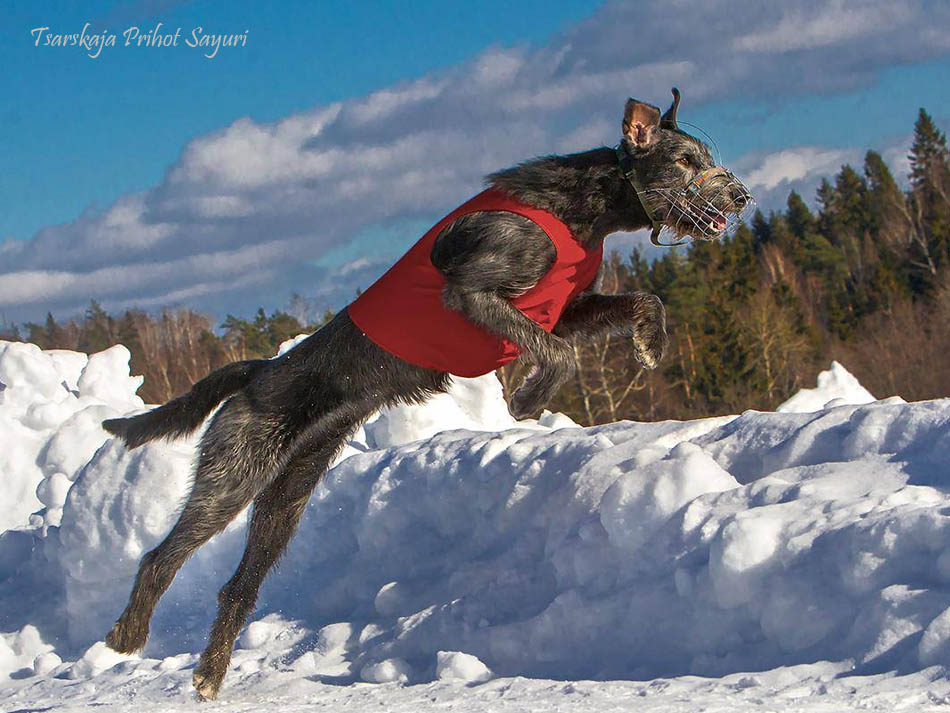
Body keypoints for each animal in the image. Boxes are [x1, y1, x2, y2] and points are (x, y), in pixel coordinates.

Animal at [102, 87, 752, 696]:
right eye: (687, 160)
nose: (741, 196)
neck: (582, 211)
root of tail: (259, 372)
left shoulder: (565, 310)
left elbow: (644, 300)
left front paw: (648, 341)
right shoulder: (476, 295)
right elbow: (558, 353)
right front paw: (528, 401)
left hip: (285, 500)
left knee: (237, 588)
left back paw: (209, 677)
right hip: (234, 476)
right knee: (160, 556)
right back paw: (127, 636)